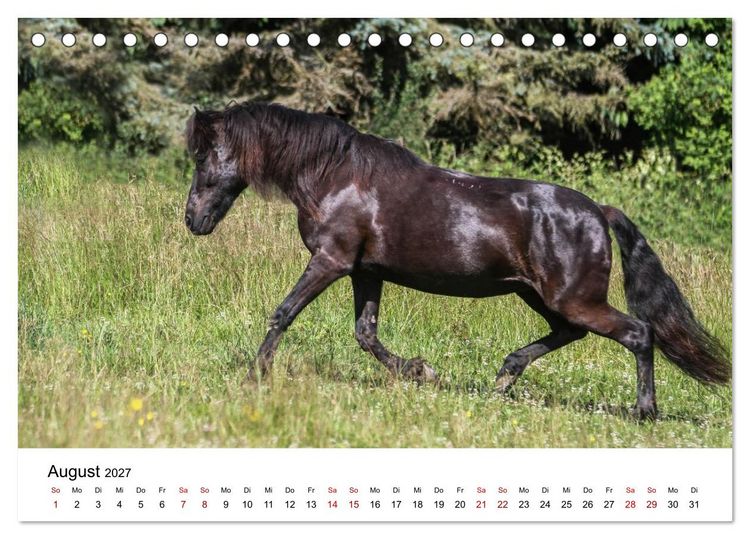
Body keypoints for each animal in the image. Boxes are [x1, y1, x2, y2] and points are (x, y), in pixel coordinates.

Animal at [183, 101, 730, 420]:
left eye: (204, 155)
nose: (192, 219)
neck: (334, 174)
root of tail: (599, 211)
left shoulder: (331, 261)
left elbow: (283, 313)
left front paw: (256, 375)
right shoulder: (365, 272)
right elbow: (366, 334)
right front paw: (420, 371)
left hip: (573, 298)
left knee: (638, 333)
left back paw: (643, 411)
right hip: (539, 295)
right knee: (570, 333)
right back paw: (504, 377)